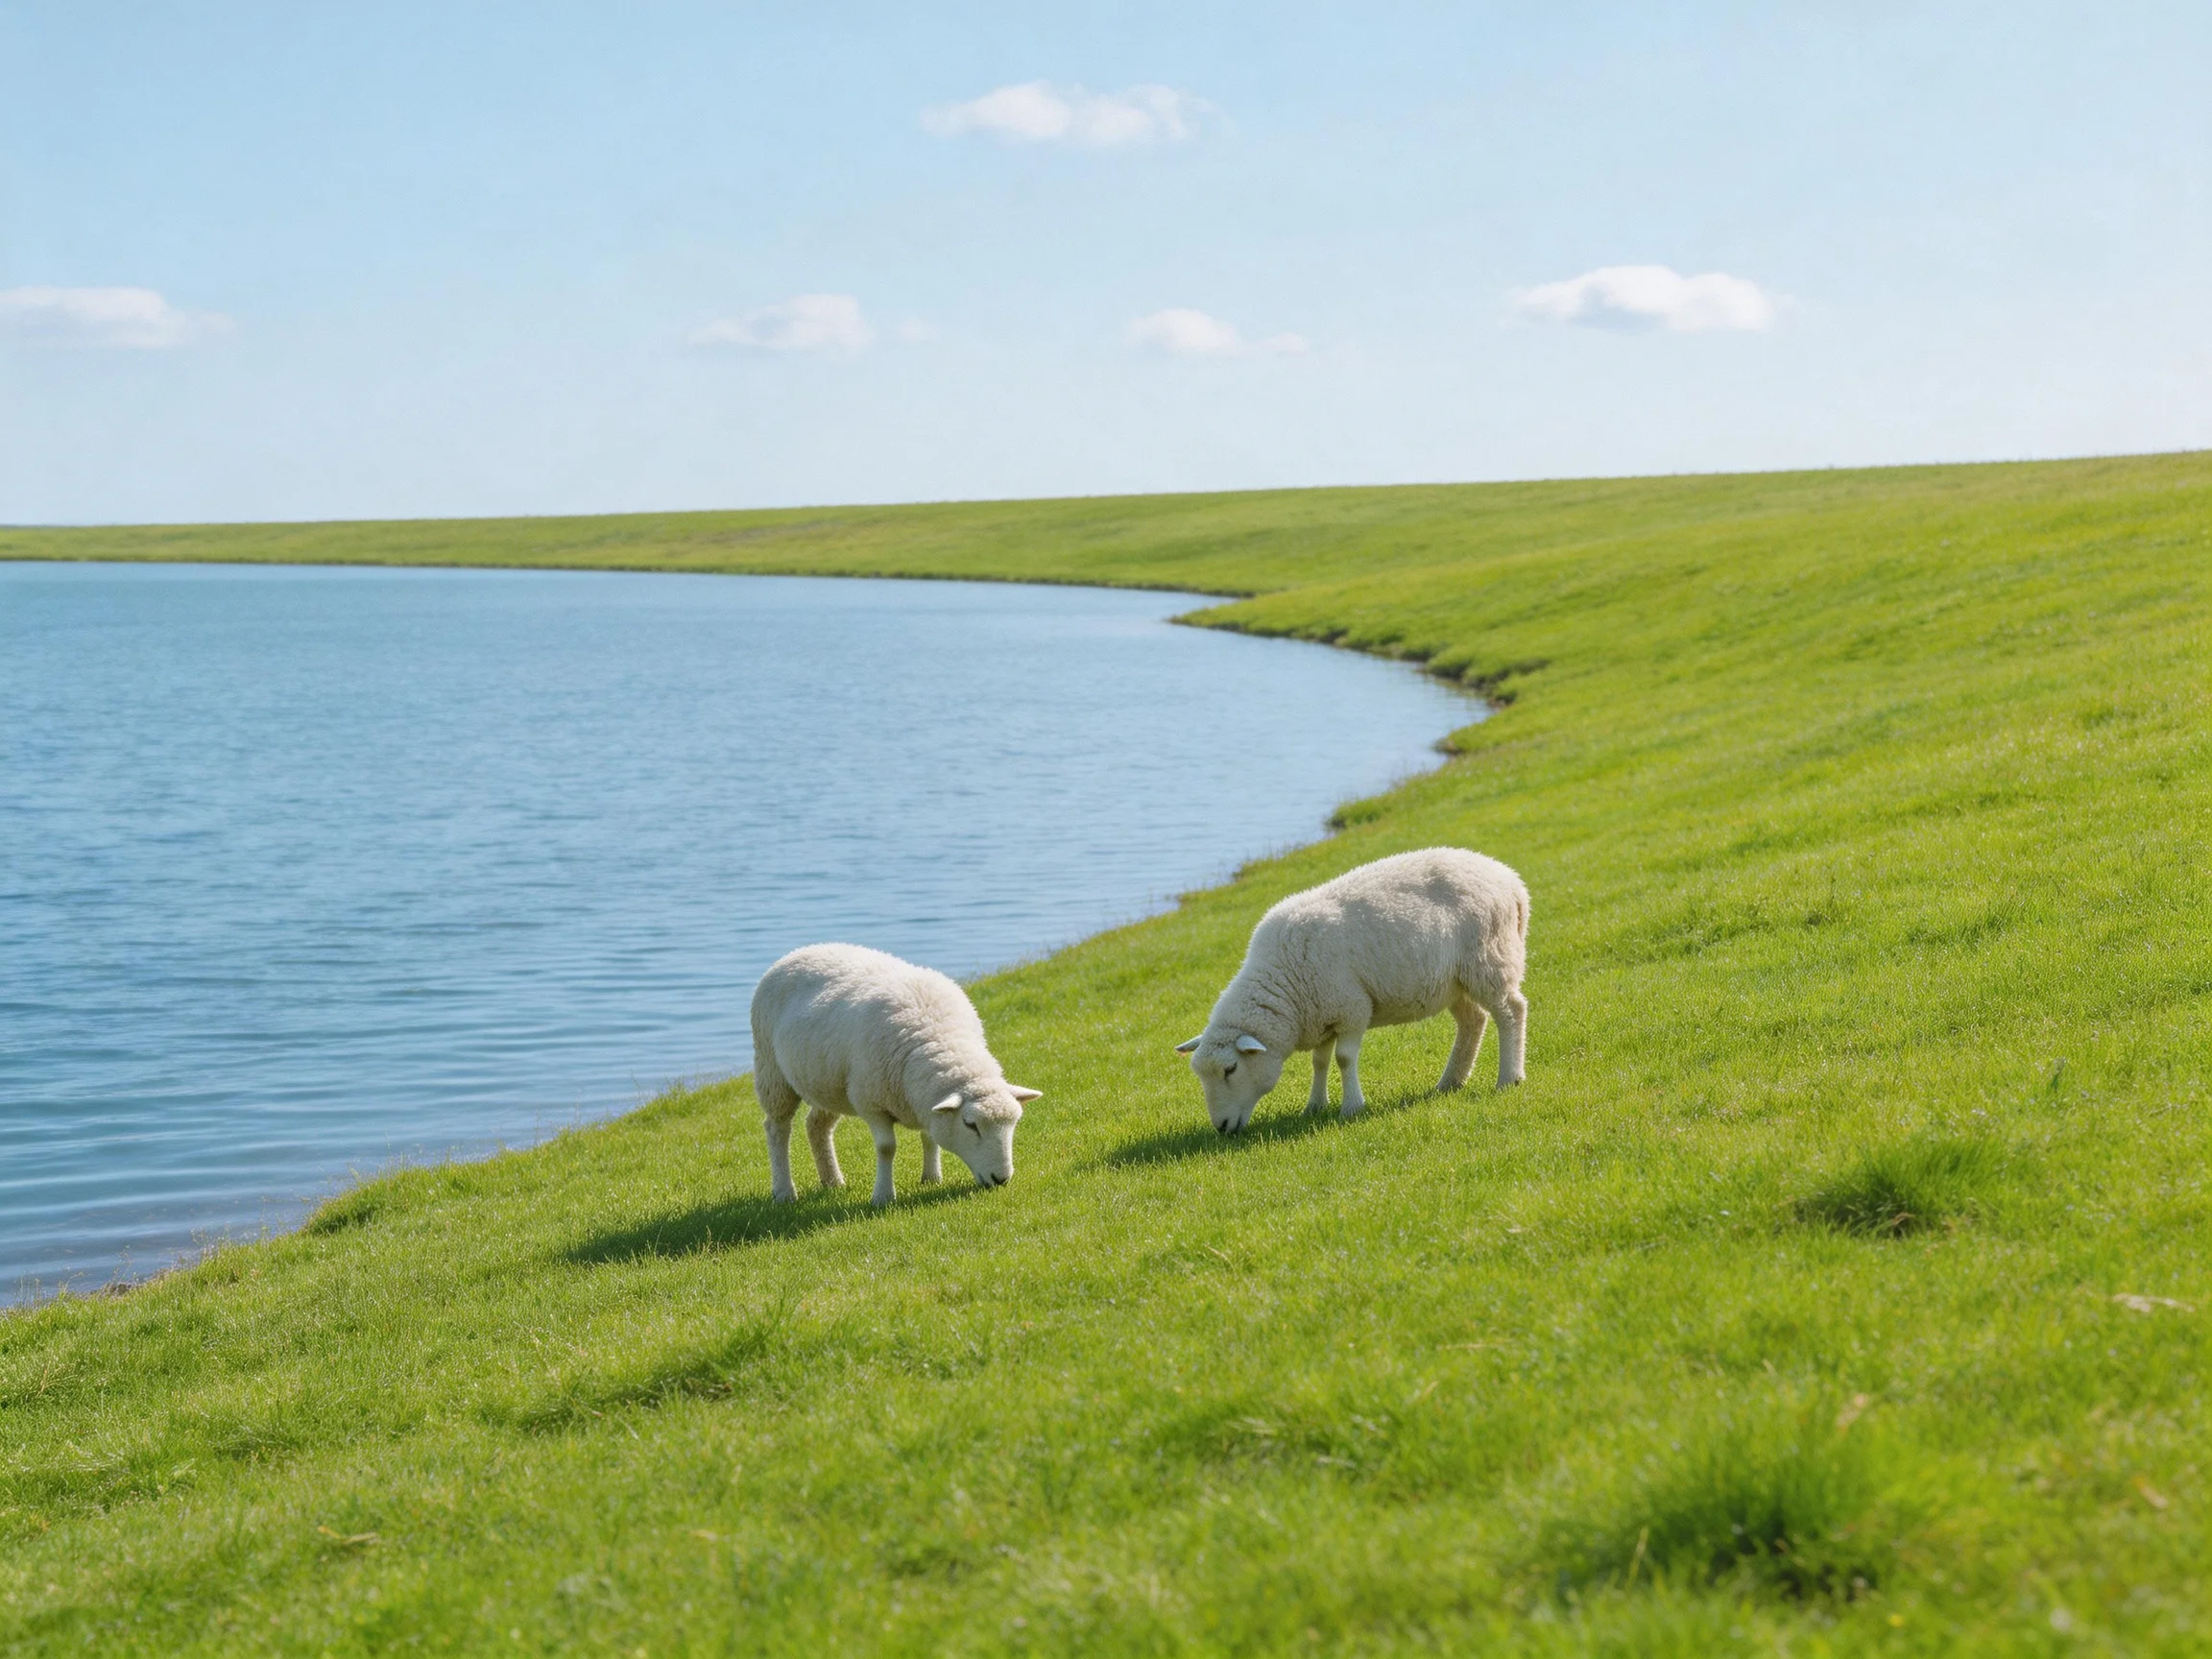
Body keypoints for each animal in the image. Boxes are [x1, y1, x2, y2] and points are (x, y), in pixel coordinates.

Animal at [749, 943, 1041, 1206]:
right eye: (971, 1125)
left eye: (1015, 1123)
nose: (1001, 1179)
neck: (937, 1035)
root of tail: (800, 950)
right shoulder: (871, 1102)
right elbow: (886, 1148)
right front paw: (883, 1197)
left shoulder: (924, 1100)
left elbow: (928, 1136)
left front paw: (931, 1178)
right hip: (772, 1070)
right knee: (777, 1128)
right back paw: (785, 1192)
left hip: (827, 1083)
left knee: (816, 1126)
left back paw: (832, 1181)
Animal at [1176, 847, 1528, 1134]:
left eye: (1230, 1069)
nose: (1222, 1127)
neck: (1287, 984)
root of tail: (1511, 880)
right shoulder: (1321, 1014)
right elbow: (1319, 1061)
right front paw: (1314, 1106)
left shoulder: (1352, 1009)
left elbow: (1344, 1059)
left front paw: (1352, 1107)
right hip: (1453, 981)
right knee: (1473, 1021)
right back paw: (1450, 1082)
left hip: (1488, 959)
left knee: (1511, 1011)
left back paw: (1509, 1078)